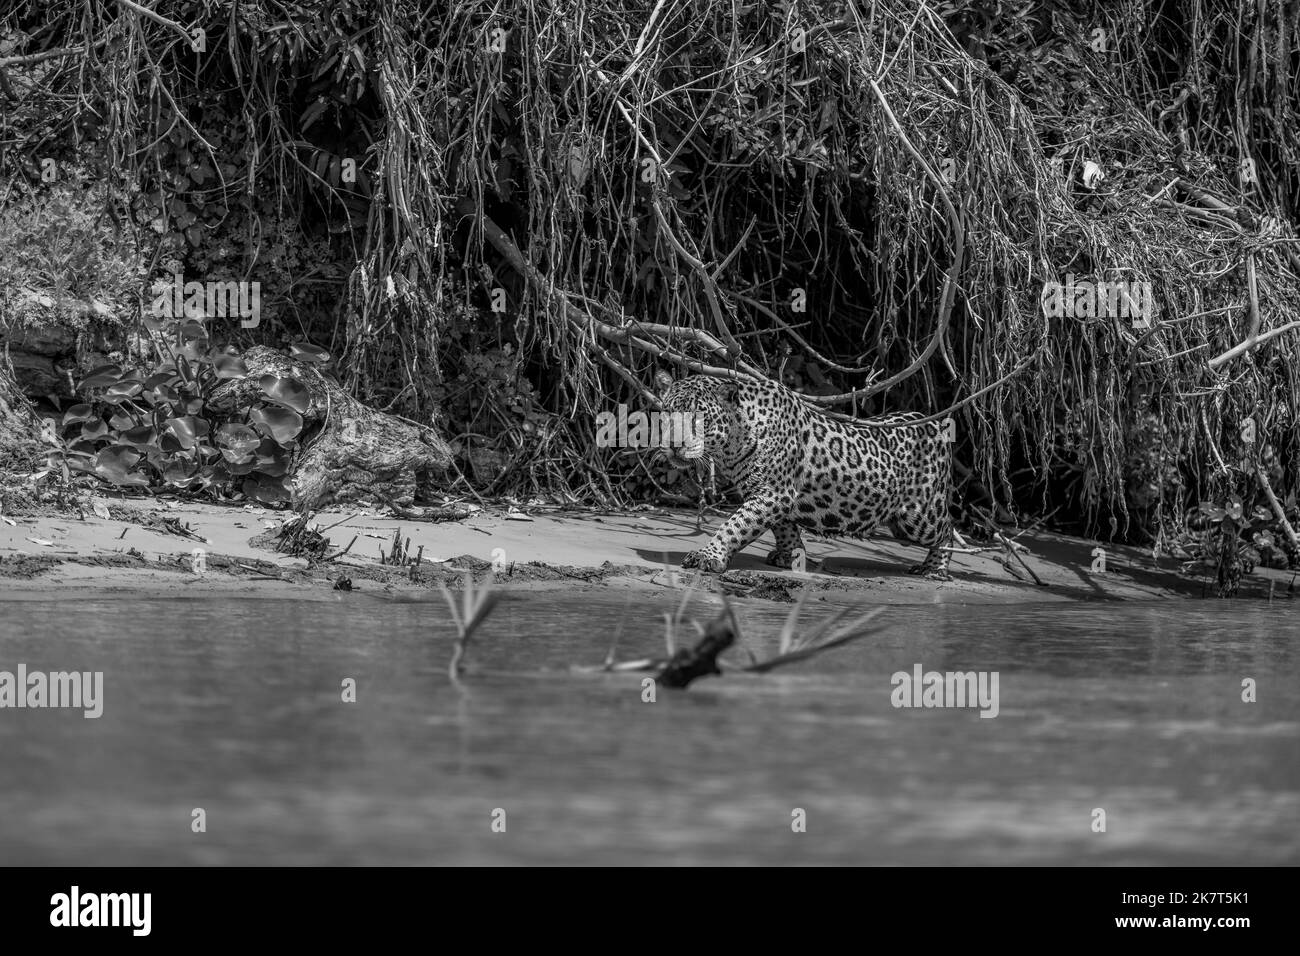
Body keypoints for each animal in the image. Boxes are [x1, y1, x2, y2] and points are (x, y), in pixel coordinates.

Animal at [654, 370, 954, 580]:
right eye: (668, 413)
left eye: (699, 417)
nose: (674, 445)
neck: (733, 440)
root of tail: (933, 424)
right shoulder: (772, 495)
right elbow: (782, 526)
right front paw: (790, 554)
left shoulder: (772, 492)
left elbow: (735, 525)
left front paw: (708, 555)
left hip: (920, 517)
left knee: (947, 528)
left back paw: (934, 569)